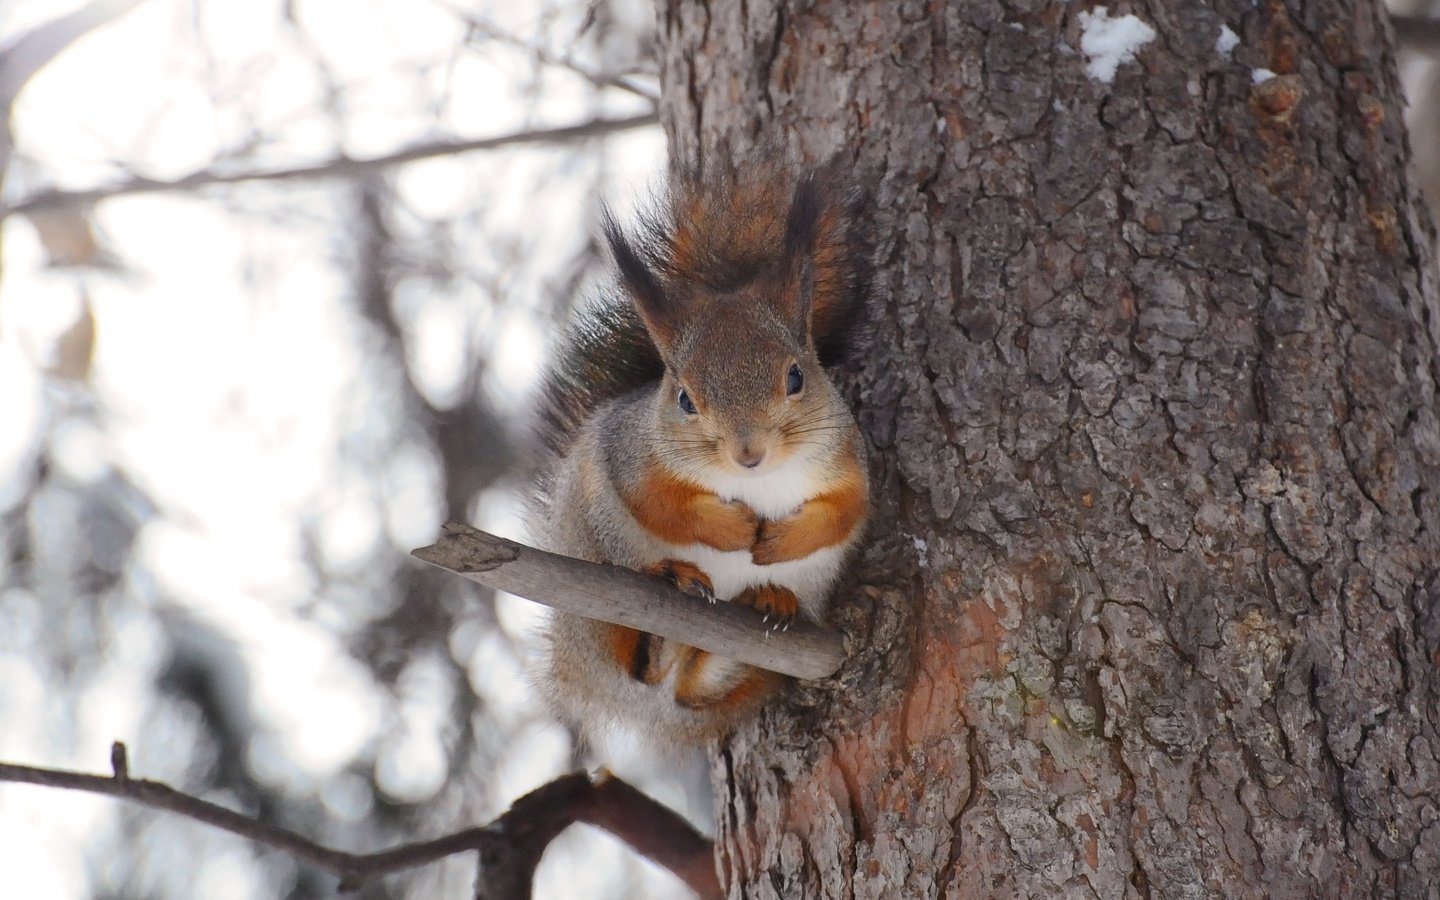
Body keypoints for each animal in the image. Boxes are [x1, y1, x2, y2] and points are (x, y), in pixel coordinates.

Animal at [527, 161, 864, 748]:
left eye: (797, 377)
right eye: (684, 398)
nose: (748, 453)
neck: (756, 483)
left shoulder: (845, 460)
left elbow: (845, 512)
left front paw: (778, 542)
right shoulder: (631, 458)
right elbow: (661, 504)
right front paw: (736, 531)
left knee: (690, 689)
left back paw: (764, 604)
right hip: (594, 576)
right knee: (638, 668)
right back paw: (667, 606)